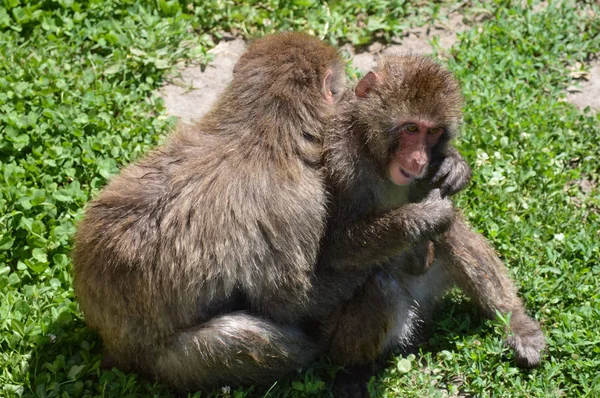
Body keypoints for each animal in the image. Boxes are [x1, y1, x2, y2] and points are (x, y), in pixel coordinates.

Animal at [316, 52, 548, 394]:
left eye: (433, 132)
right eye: (411, 128)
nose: (420, 160)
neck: (372, 154)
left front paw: (455, 166)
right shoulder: (338, 162)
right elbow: (331, 251)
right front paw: (422, 217)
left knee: (452, 233)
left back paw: (513, 320)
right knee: (380, 288)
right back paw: (354, 372)